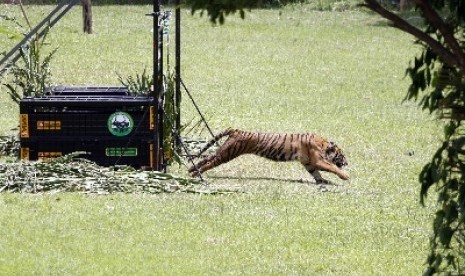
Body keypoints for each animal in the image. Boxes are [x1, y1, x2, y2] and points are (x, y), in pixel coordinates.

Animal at [188, 128, 348, 183]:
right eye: (342, 156)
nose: (347, 163)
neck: (324, 145)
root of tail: (237, 130)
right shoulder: (317, 161)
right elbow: (332, 167)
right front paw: (345, 176)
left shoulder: (308, 163)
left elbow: (316, 174)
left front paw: (324, 182)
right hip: (228, 154)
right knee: (209, 163)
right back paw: (196, 174)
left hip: (223, 151)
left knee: (206, 158)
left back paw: (191, 170)